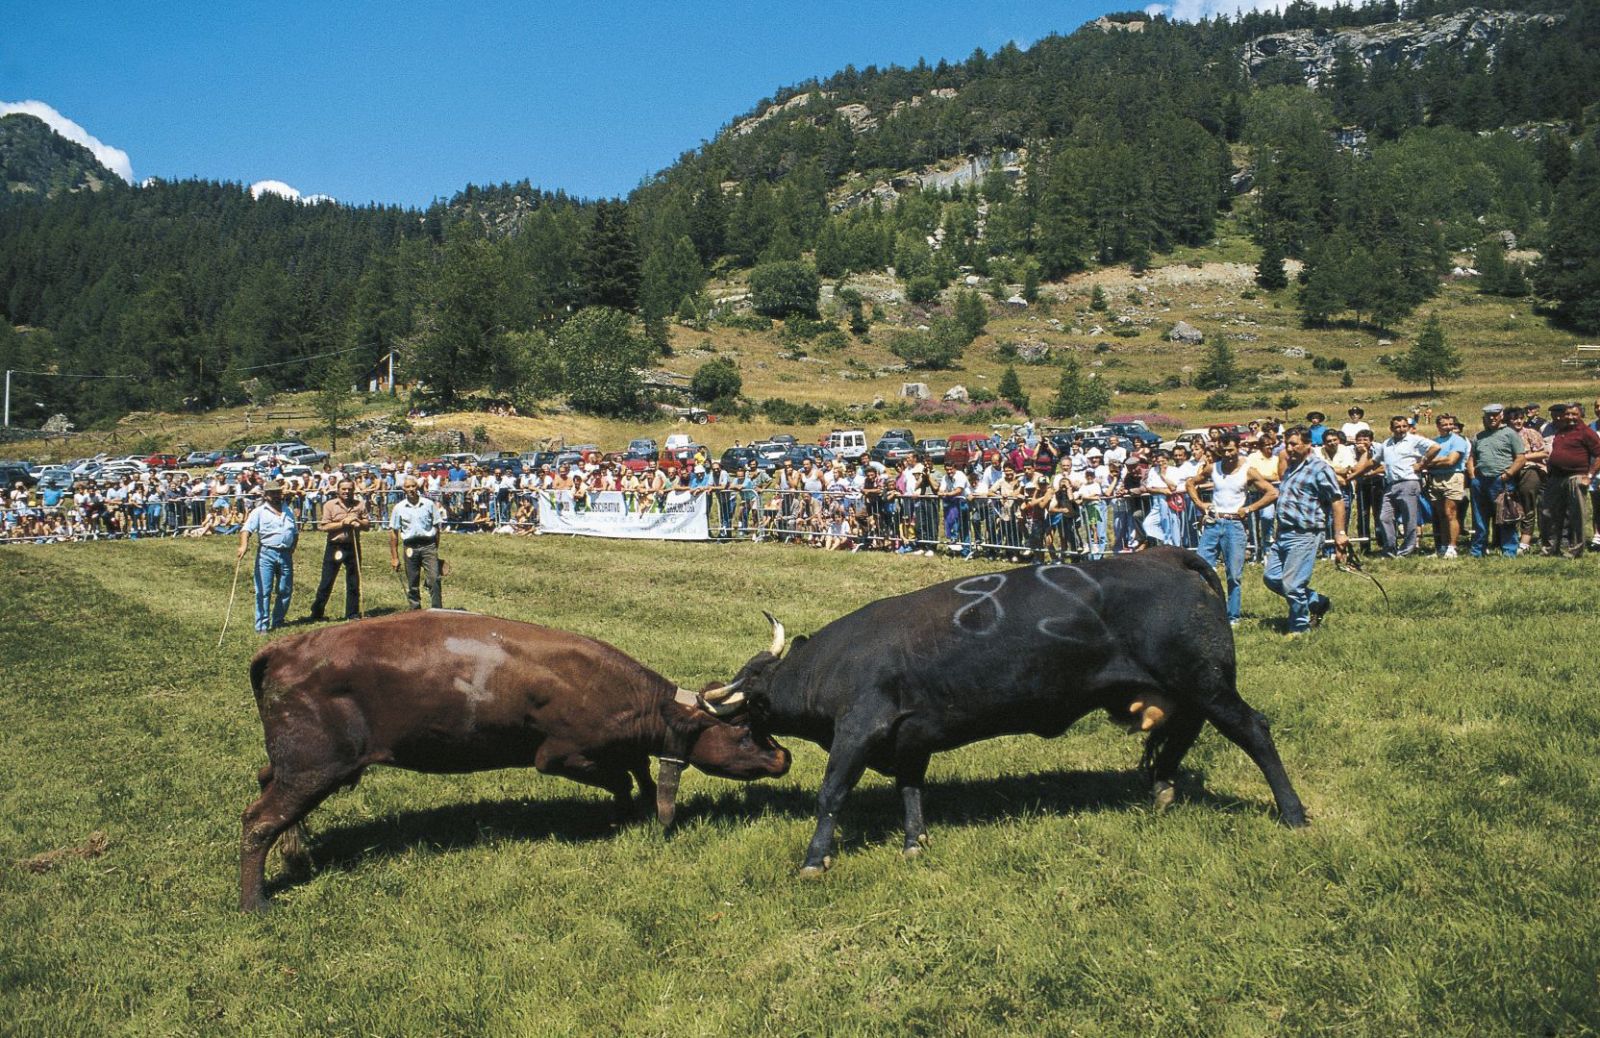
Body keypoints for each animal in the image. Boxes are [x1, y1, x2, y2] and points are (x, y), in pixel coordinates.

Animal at [238, 610, 787, 908]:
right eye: (743, 730)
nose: (784, 758)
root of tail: (282, 649)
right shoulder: (559, 755)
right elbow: (622, 779)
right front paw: (623, 815)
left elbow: (640, 777)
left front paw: (634, 816)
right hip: (314, 767)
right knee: (258, 819)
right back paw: (255, 902)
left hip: (294, 764)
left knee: (267, 784)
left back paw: (296, 851)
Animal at [713, 546, 1312, 870]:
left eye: (747, 711)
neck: (832, 665)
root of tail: (1167, 555)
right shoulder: (910, 739)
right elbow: (911, 791)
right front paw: (915, 842)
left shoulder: (860, 729)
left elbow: (831, 793)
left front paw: (815, 859)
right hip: (1189, 689)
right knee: (1184, 733)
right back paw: (1162, 787)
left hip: (1207, 684)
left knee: (1254, 730)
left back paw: (1293, 813)